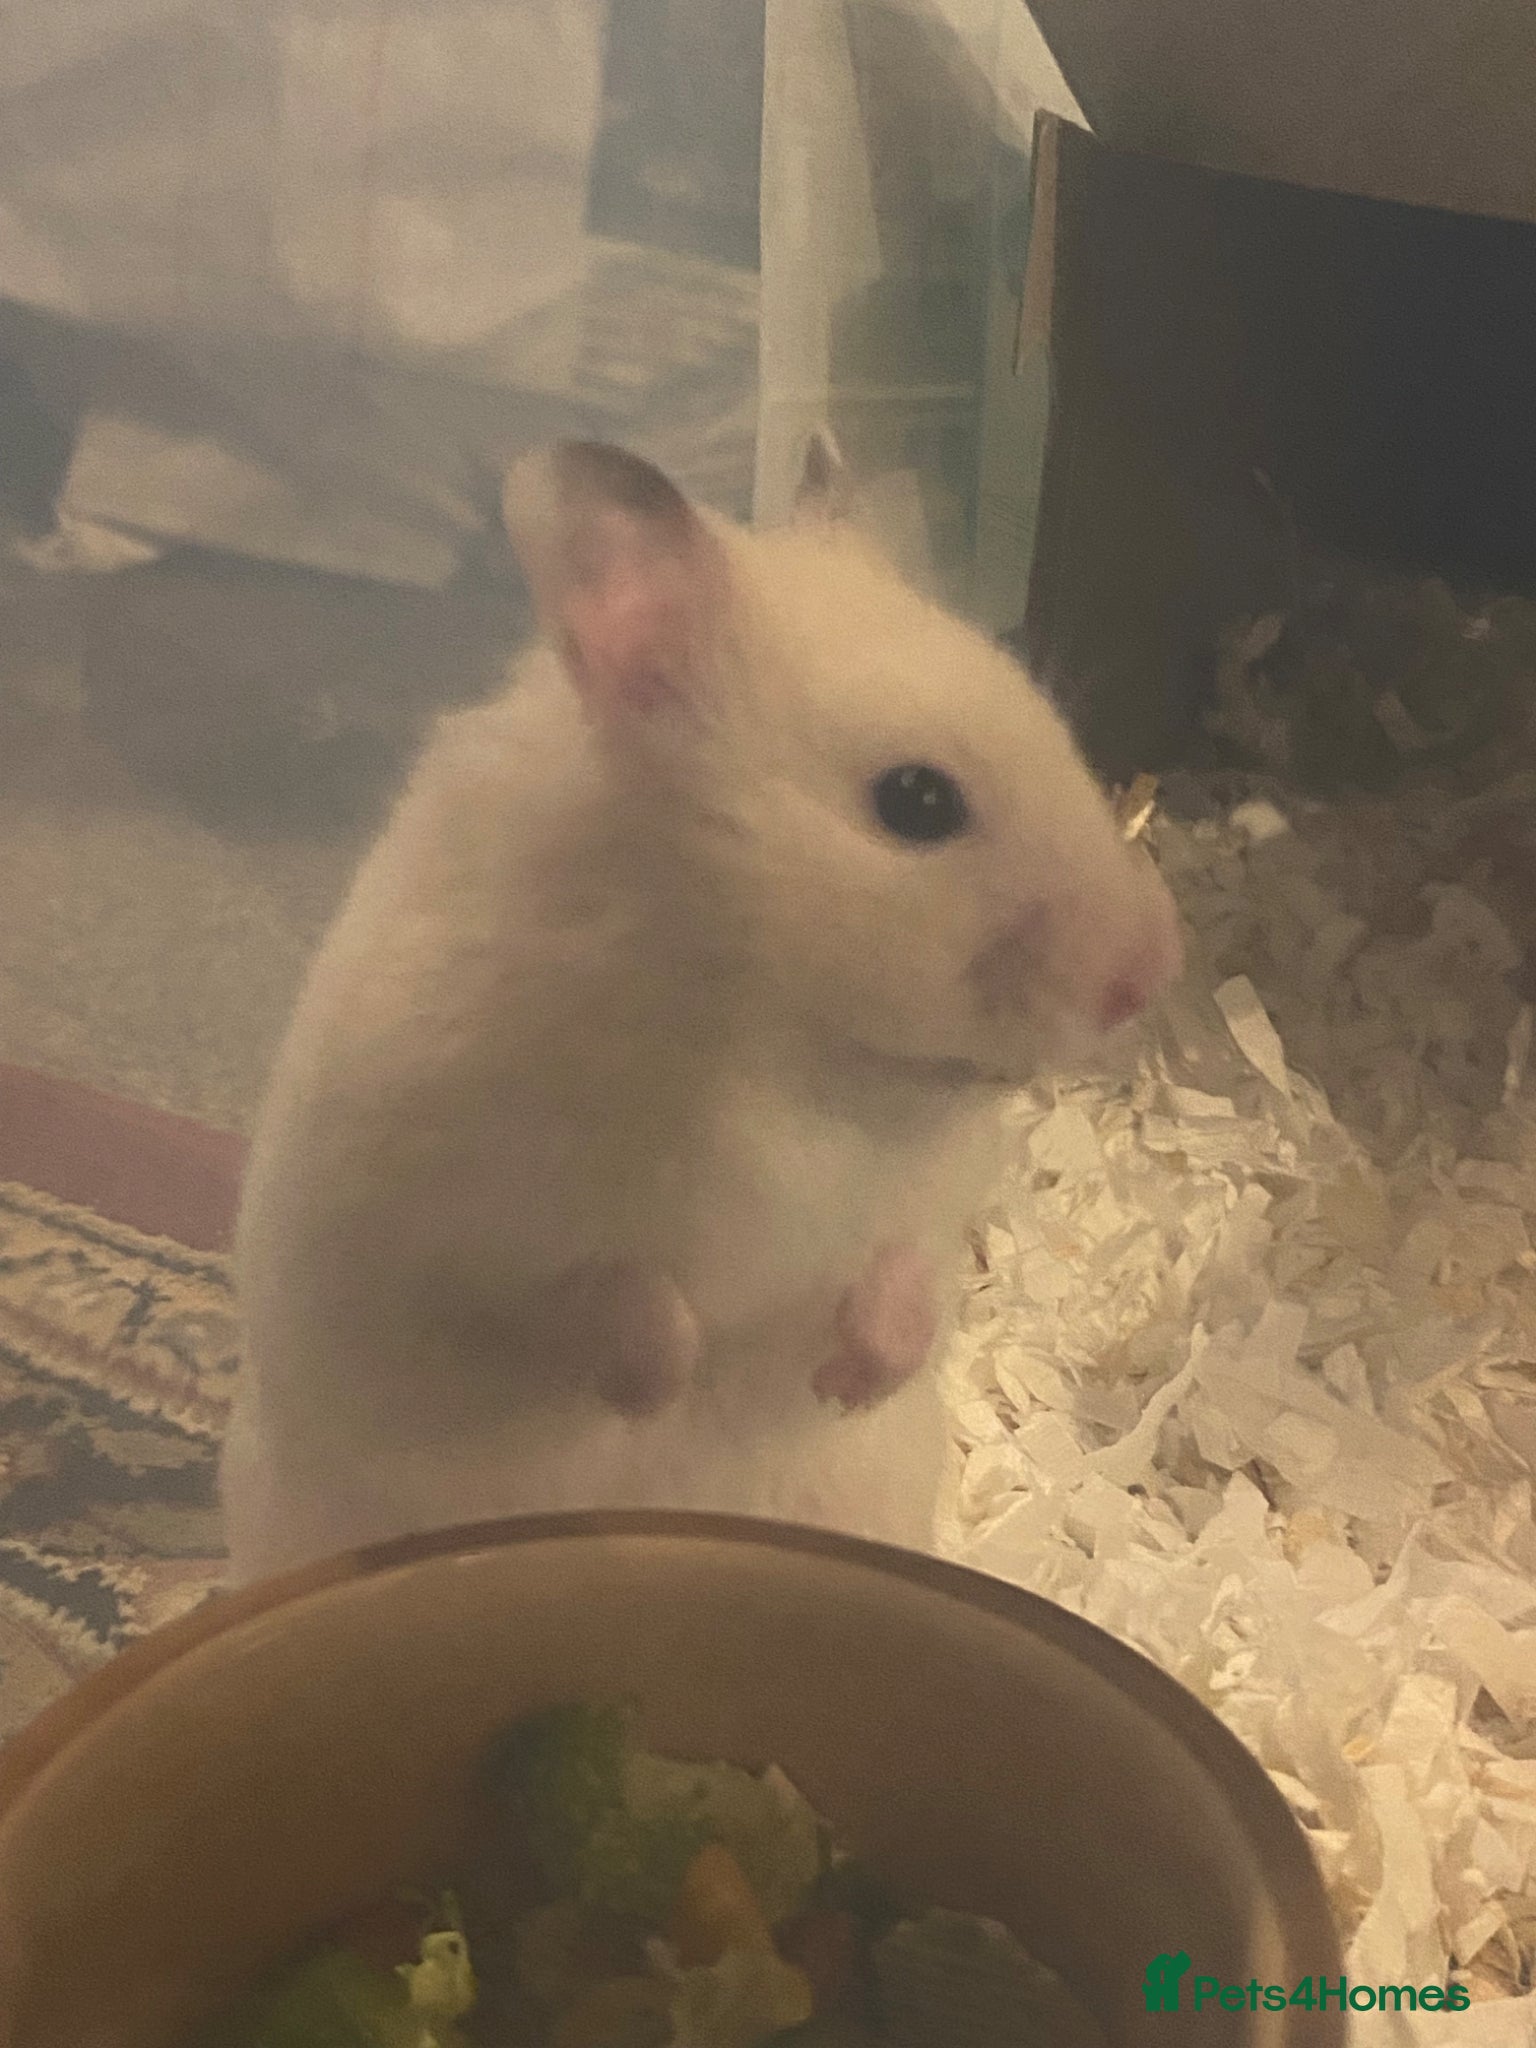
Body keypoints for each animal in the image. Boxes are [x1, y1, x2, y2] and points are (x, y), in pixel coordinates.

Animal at [220, 434, 1183, 1585]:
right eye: (917, 802)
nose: (1153, 967)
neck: (781, 1036)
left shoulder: (927, 1190)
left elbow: (906, 1267)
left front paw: (844, 1384)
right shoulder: (454, 1214)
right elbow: (602, 1292)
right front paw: (663, 1392)